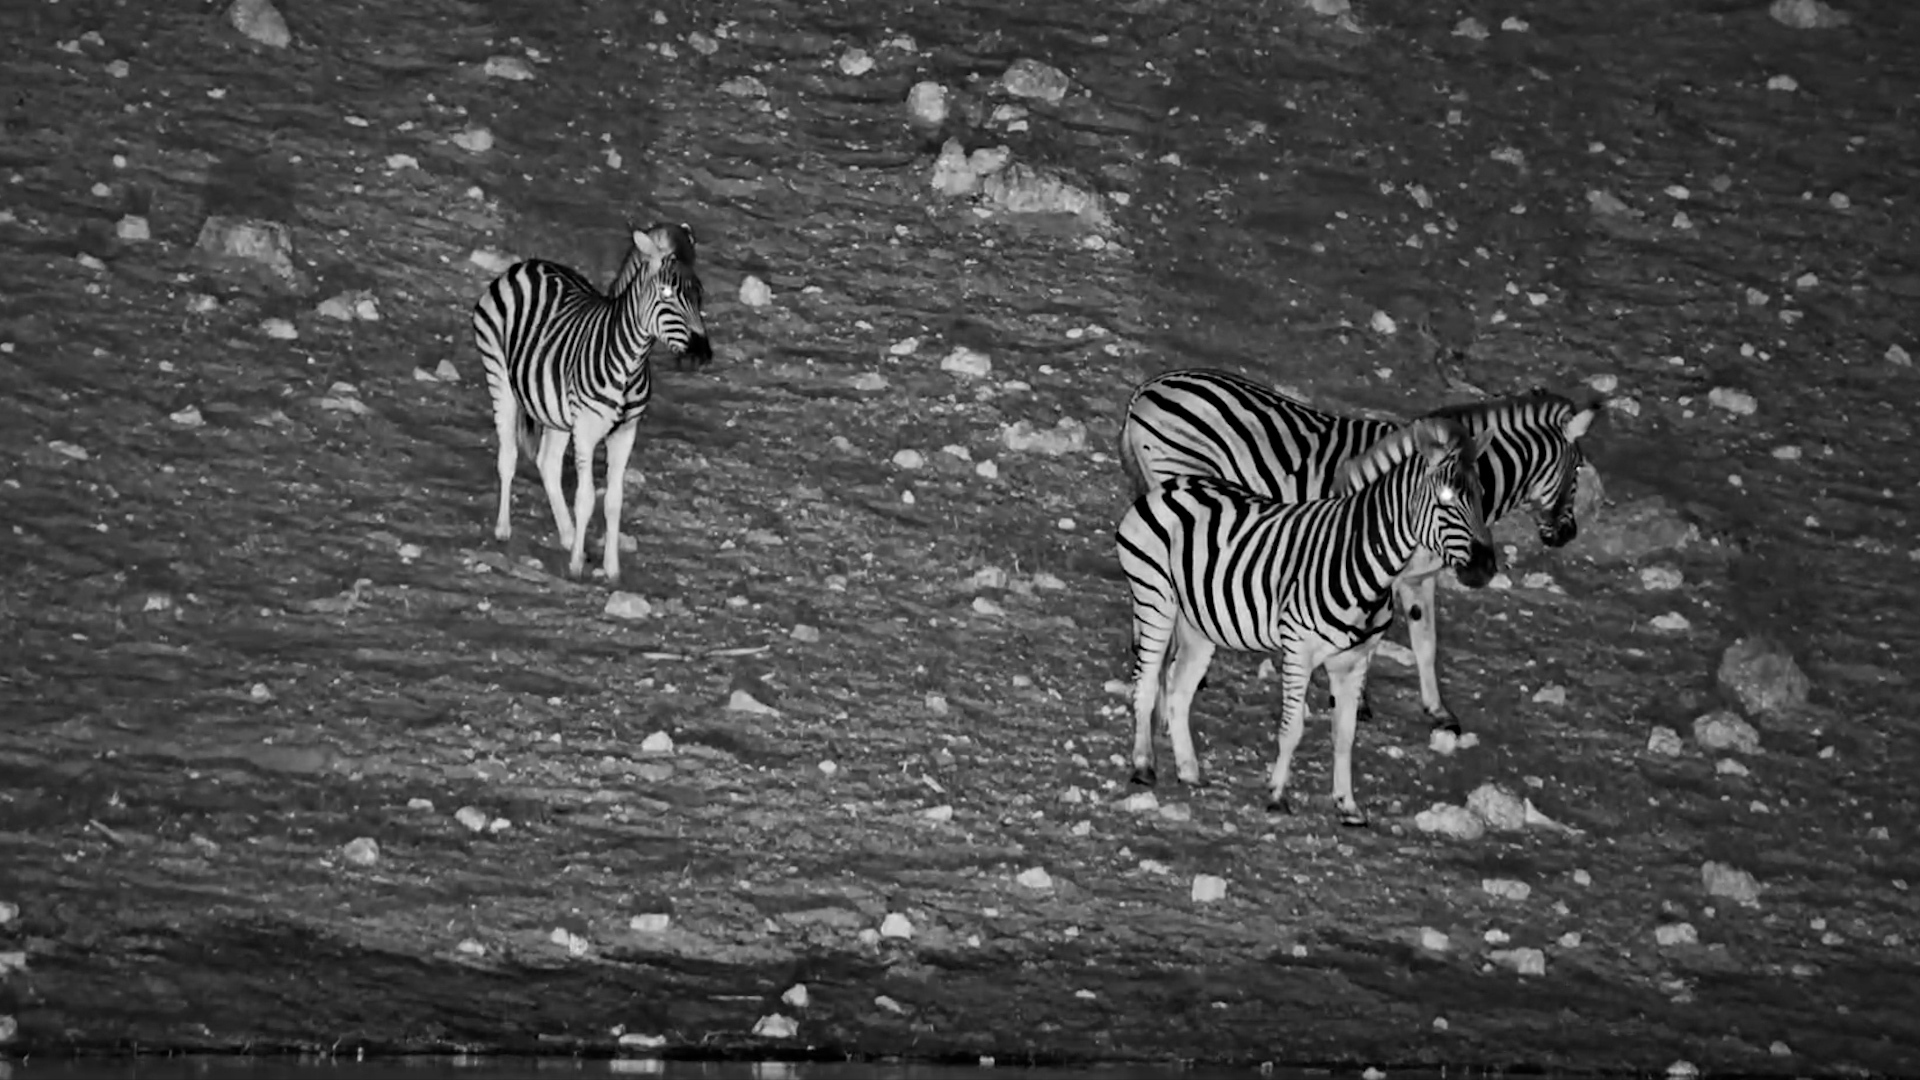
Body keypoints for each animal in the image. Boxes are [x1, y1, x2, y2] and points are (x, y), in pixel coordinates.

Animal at [473, 222, 711, 585]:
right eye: (667, 294)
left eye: (699, 296)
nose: (702, 354)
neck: (630, 362)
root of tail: (529, 264)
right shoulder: (585, 430)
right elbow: (585, 499)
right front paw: (574, 568)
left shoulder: (625, 432)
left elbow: (613, 501)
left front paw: (611, 570)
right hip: (498, 375)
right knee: (508, 456)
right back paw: (504, 530)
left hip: (554, 411)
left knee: (547, 464)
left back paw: (570, 537)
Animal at [1114, 417, 1497, 827]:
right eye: (1445, 498)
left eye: (1480, 494)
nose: (1486, 567)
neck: (1360, 561)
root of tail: (1169, 487)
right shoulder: (1298, 649)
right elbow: (1292, 727)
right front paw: (1277, 796)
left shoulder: (1354, 660)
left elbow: (1345, 734)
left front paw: (1347, 806)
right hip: (1155, 597)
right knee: (1146, 680)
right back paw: (1144, 767)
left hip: (1199, 623)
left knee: (1178, 689)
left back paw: (1189, 772)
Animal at [1118, 367, 1600, 733]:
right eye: (1578, 469)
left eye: (1480, 492)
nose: (1568, 534)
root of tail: (1148, 388)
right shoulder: (1384, 572)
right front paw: (1356, 700)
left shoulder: (1417, 578)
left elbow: (1426, 643)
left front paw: (1438, 712)